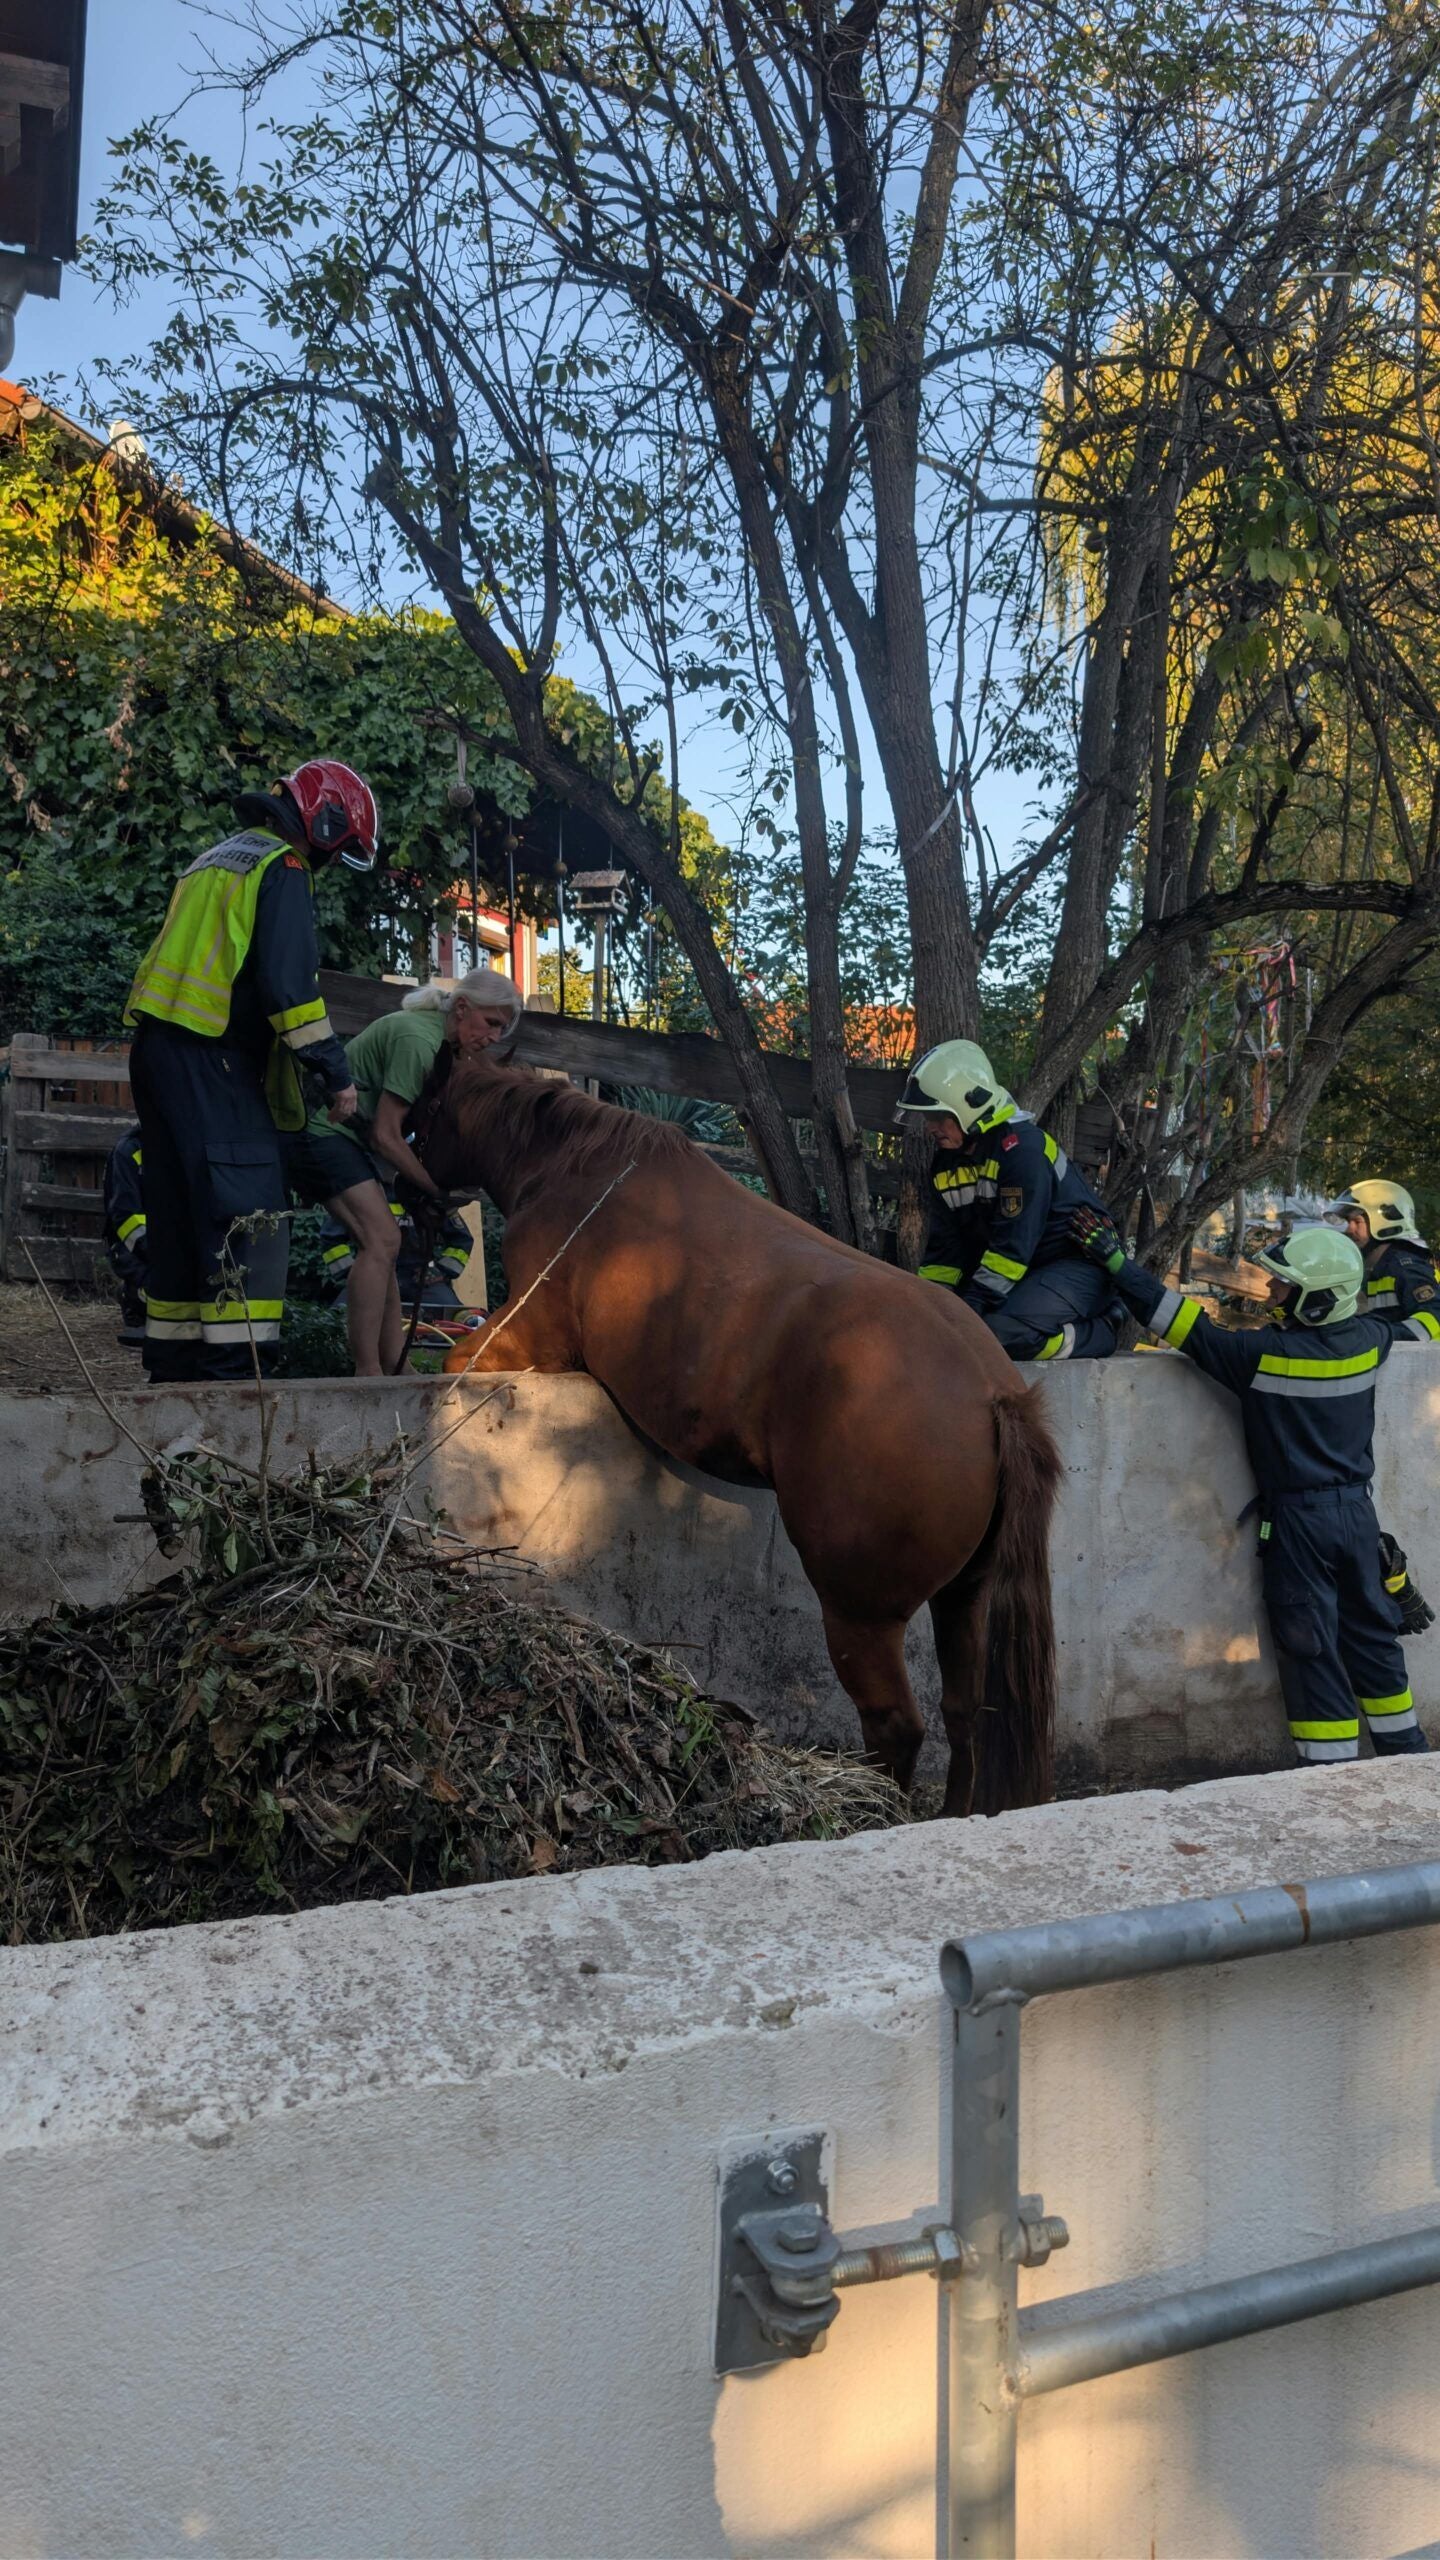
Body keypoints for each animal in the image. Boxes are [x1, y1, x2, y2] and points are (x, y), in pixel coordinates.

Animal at [424, 1061, 1062, 1816]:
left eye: (426, 1100)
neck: (579, 1167)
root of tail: (992, 1395)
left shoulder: (527, 1339)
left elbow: (453, 1360)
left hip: (862, 1616)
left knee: (895, 1727)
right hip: (963, 1598)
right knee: (964, 1715)